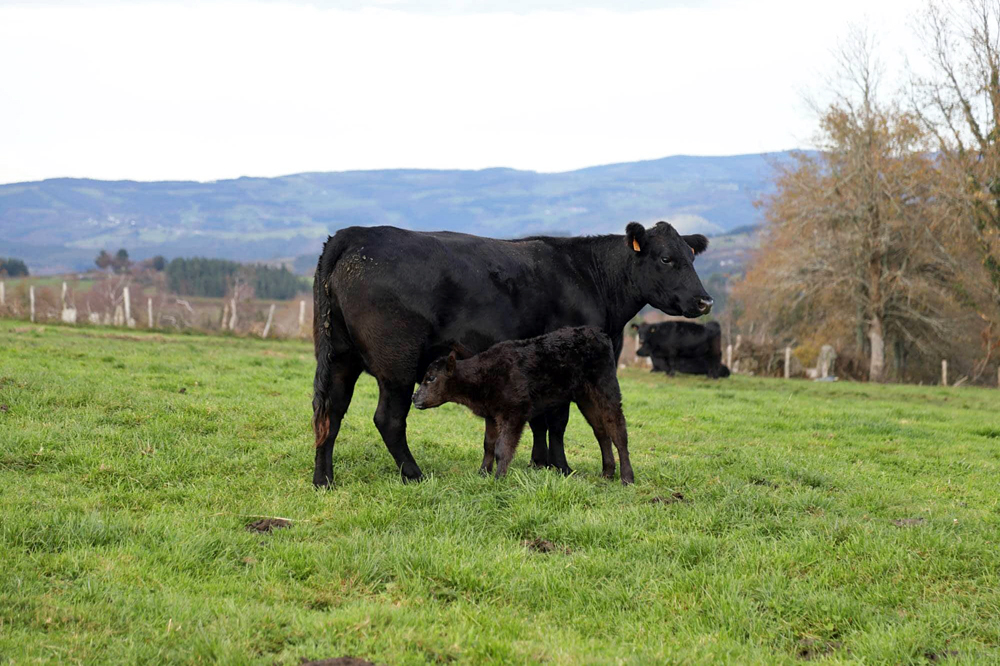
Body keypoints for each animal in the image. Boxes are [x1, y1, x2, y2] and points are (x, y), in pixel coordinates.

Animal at [411, 326, 633, 484]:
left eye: (430, 378)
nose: (414, 397)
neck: (484, 374)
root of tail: (599, 334)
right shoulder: (492, 414)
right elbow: (488, 445)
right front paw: (482, 473)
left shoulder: (514, 413)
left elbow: (502, 447)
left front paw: (498, 479)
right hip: (585, 398)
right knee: (601, 431)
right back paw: (607, 473)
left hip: (606, 389)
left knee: (617, 430)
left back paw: (627, 478)